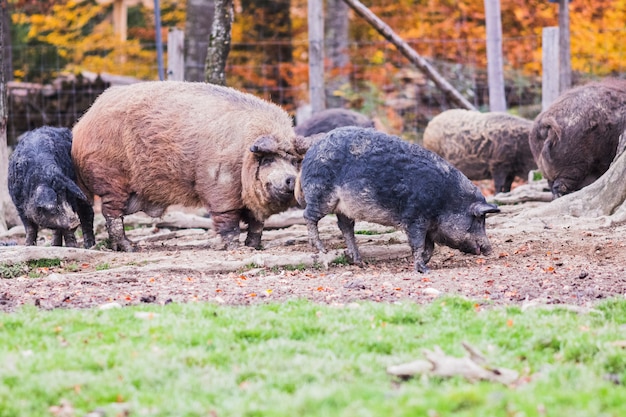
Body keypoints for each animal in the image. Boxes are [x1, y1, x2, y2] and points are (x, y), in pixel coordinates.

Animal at [72, 80, 306, 250]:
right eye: (268, 160)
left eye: (294, 161)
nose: (291, 178)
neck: (243, 156)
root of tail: (82, 124)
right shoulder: (220, 184)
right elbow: (228, 220)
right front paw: (235, 248)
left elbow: (257, 224)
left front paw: (254, 247)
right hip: (111, 179)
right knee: (111, 214)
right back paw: (130, 247)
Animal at [294, 125, 500, 272]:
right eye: (478, 219)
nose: (490, 249)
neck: (446, 201)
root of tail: (310, 152)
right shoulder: (415, 218)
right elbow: (418, 244)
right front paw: (423, 269)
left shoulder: (428, 226)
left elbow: (430, 247)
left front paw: (423, 263)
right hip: (320, 194)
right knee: (308, 216)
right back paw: (321, 249)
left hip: (343, 208)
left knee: (345, 227)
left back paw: (359, 262)